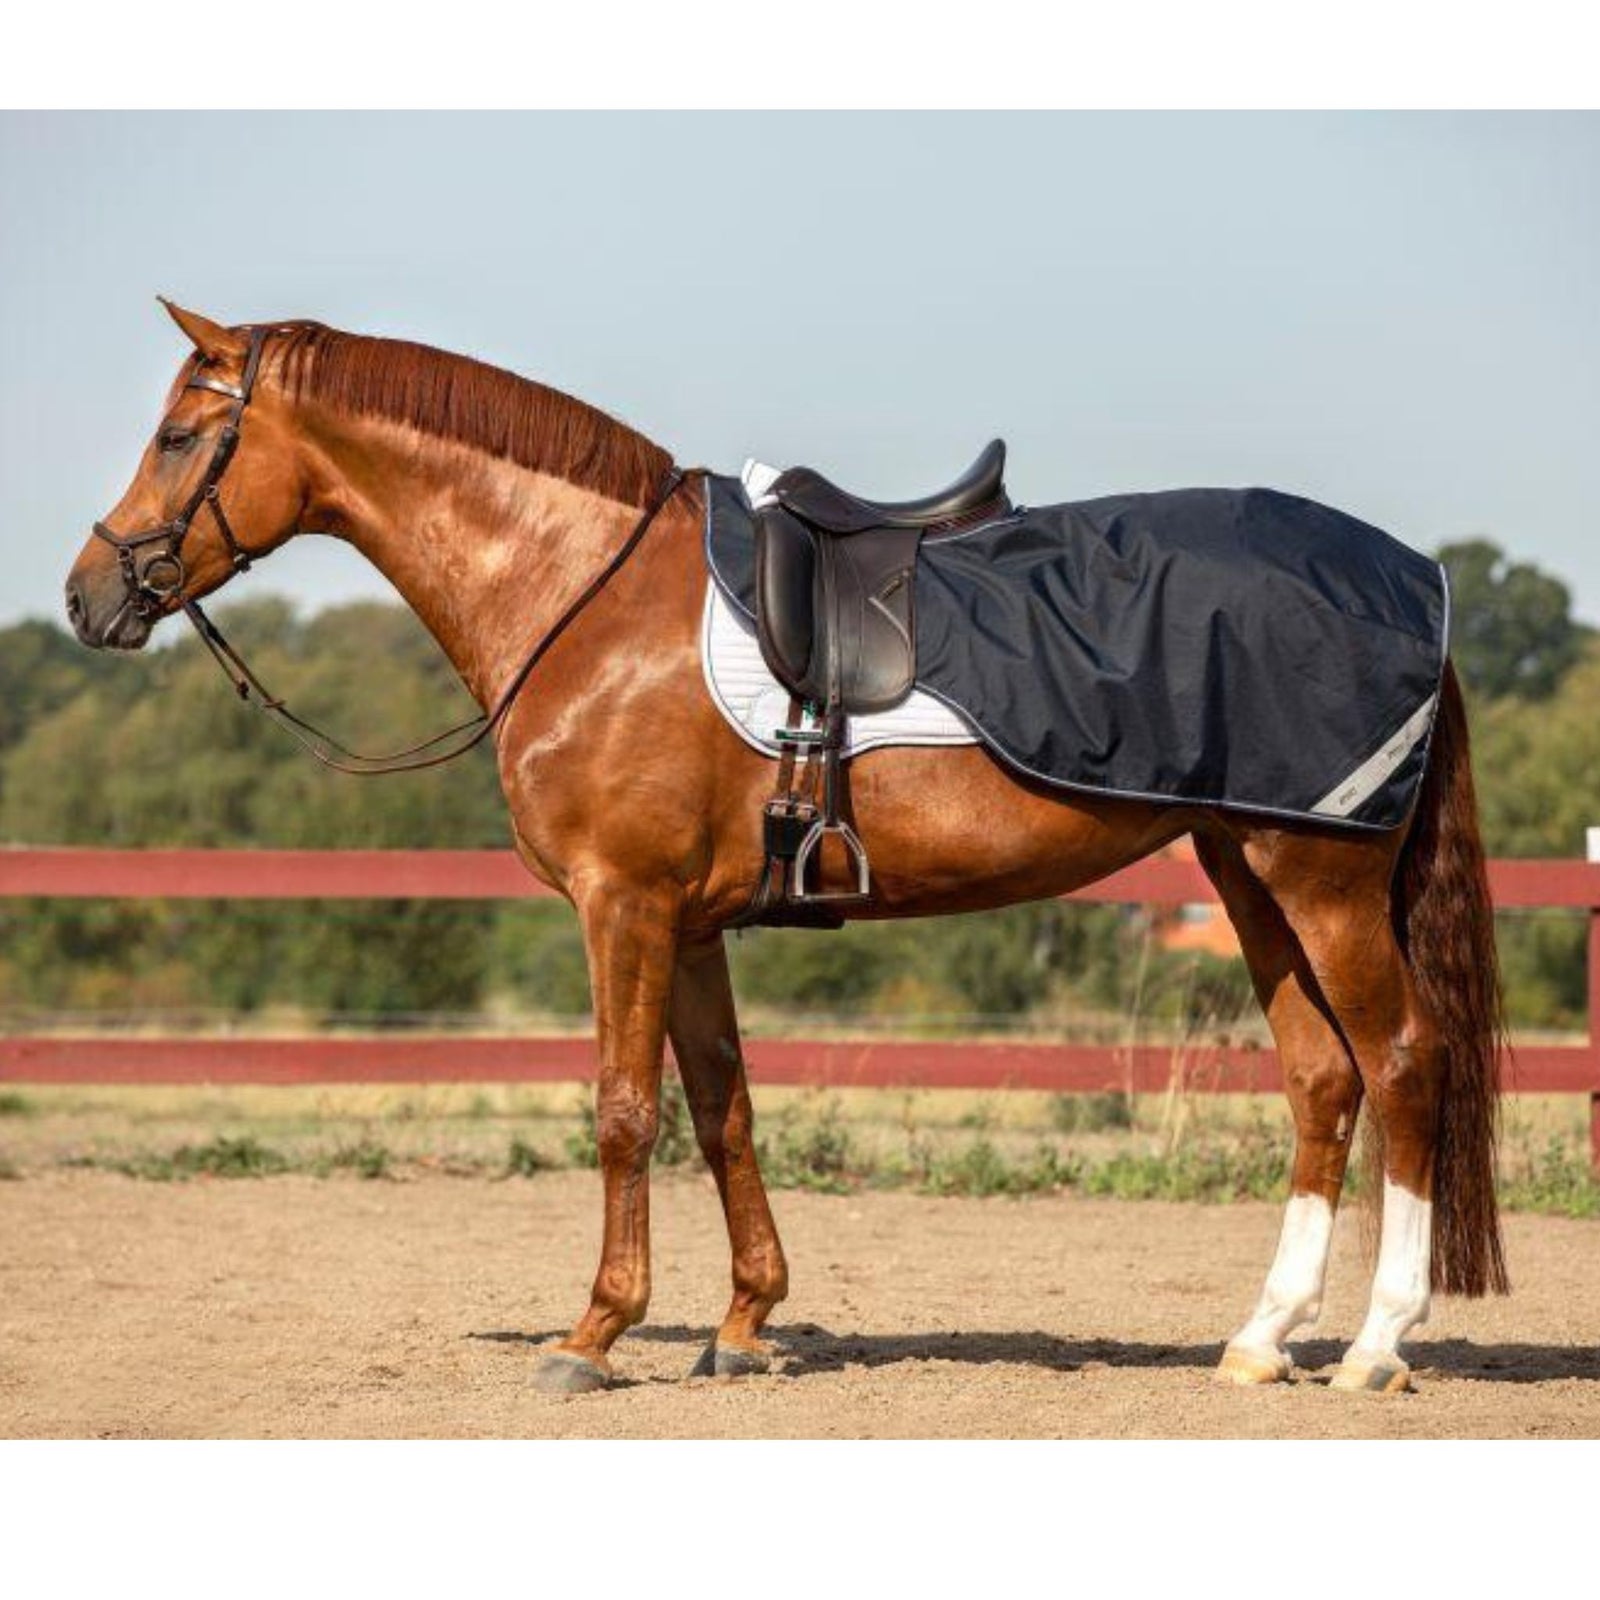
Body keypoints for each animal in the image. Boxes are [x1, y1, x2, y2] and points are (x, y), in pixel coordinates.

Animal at [65, 301, 1507, 1398]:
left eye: (181, 433)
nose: (88, 595)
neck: (587, 593)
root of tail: (1410, 581)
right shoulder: (692, 922)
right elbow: (725, 1111)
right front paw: (746, 1322)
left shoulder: (624, 906)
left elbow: (625, 1111)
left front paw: (594, 1333)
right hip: (1248, 873)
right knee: (1321, 1079)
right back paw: (1261, 1340)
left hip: (1319, 879)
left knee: (1401, 1061)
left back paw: (1375, 1345)